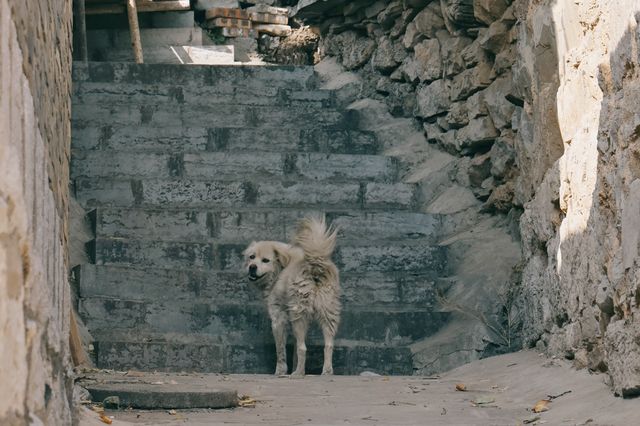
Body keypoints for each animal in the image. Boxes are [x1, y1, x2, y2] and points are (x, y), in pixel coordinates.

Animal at [245, 216, 342, 376]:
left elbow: (281, 351)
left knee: (303, 348)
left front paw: (280, 372)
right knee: (328, 345)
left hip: (299, 315)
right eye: (252, 257)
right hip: (327, 313)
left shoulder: (278, 319)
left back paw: (298, 374)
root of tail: (315, 264)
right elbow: (296, 349)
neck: (280, 270)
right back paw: (326, 372)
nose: (252, 267)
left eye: (265, 260)